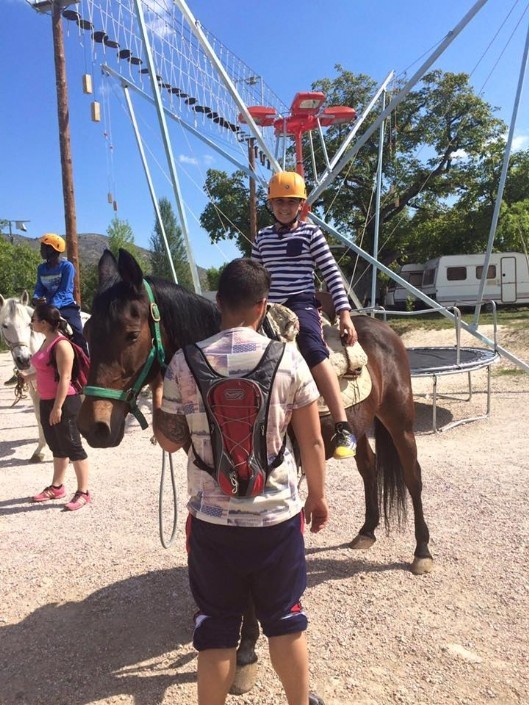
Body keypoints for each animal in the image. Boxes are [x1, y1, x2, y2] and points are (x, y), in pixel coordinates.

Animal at [0, 288, 48, 460]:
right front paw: (40, 449)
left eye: (29, 323)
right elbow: (39, 415)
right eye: (5, 325)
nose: (24, 359)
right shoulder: (34, 389)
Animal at [78, 249, 432, 692]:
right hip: (363, 426)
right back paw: (366, 531)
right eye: (86, 332)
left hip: (399, 419)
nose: (94, 427)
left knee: (413, 478)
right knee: (369, 469)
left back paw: (421, 552)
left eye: (129, 334)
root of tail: (384, 330)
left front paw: (246, 652)